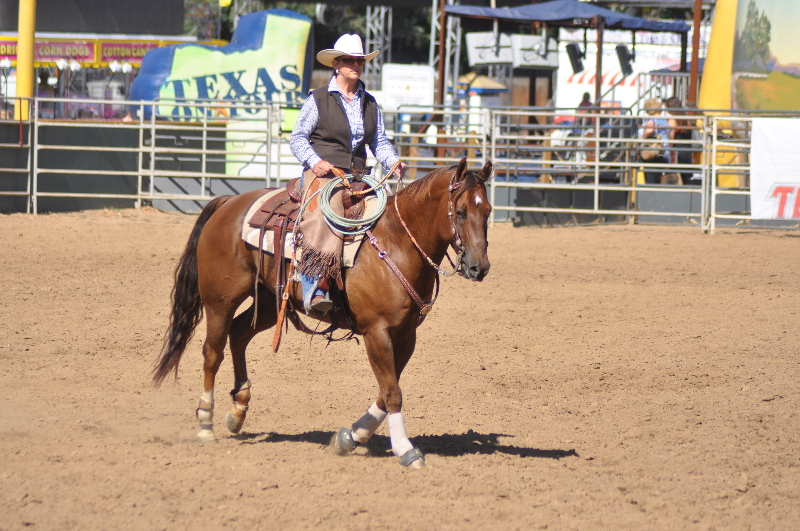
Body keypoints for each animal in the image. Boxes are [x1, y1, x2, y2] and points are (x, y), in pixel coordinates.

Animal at [152, 157, 493, 468]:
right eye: (460, 212)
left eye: (488, 211)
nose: (479, 268)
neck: (396, 243)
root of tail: (227, 203)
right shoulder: (376, 333)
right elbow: (392, 393)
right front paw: (406, 450)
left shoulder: (406, 336)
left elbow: (386, 391)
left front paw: (350, 437)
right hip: (220, 300)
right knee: (213, 351)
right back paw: (205, 423)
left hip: (270, 300)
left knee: (237, 335)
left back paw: (238, 410)